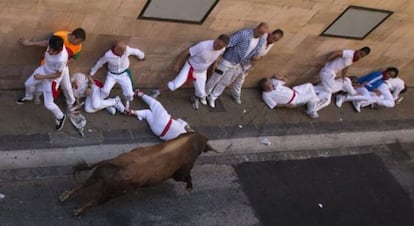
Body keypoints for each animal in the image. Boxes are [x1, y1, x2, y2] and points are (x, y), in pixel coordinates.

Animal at [58, 132, 217, 216]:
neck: (191, 141)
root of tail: (113, 164)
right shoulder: (181, 173)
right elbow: (188, 177)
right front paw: (190, 188)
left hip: (97, 176)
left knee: (82, 186)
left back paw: (64, 197)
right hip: (110, 194)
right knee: (95, 200)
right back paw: (78, 211)